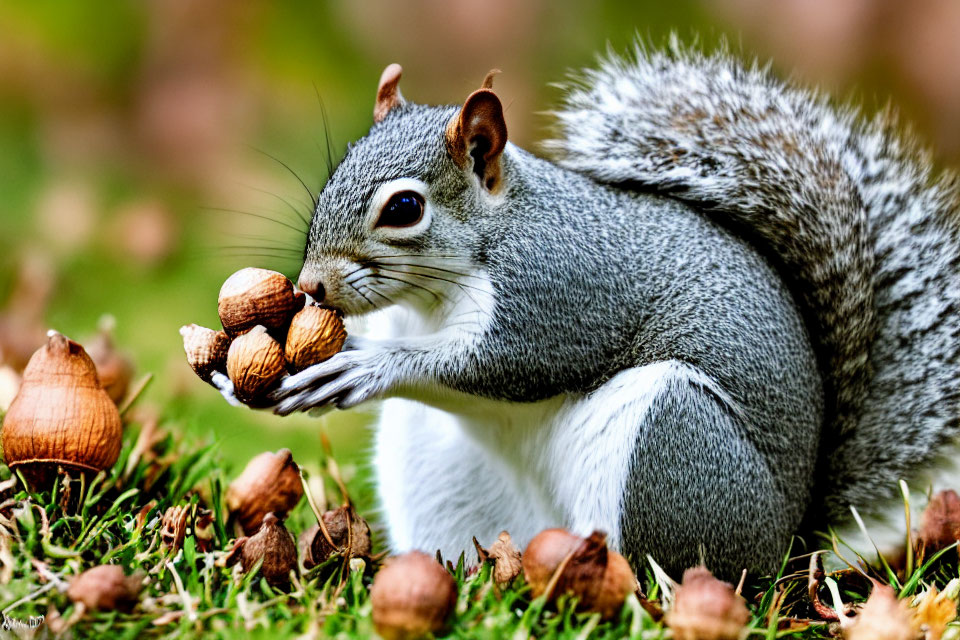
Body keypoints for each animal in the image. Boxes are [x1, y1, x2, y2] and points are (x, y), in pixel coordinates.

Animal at [214, 42, 960, 576]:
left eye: (403, 208)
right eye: (333, 176)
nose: (311, 286)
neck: (432, 297)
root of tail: (788, 550)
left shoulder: (563, 290)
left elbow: (512, 363)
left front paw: (370, 366)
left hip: (675, 442)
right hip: (436, 467)